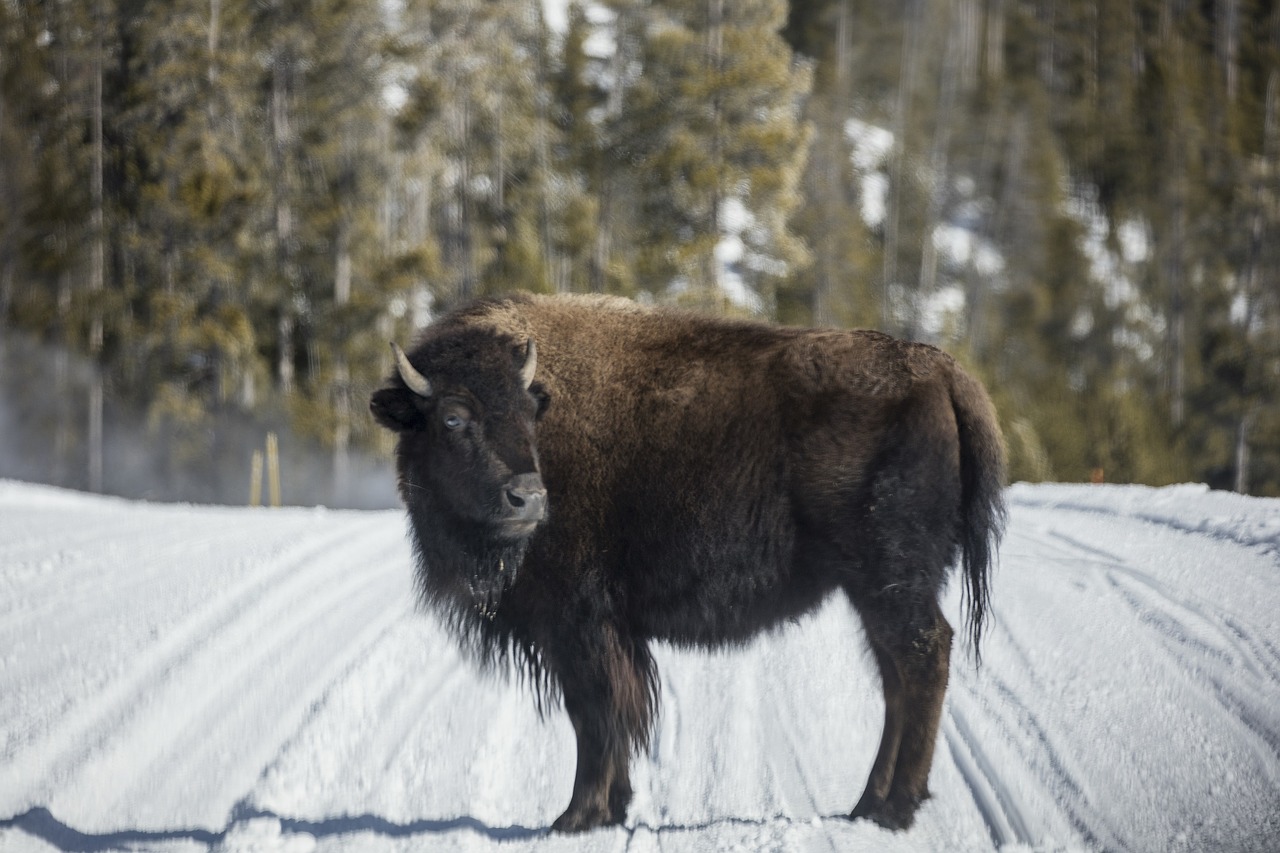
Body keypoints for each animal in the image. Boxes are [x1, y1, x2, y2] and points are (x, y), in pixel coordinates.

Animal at [366, 292, 1003, 829]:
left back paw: (895, 808)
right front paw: (611, 807)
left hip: (889, 581)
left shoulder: (578, 623)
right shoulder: (608, 631)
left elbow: (595, 713)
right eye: (452, 417)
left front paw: (576, 816)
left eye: (528, 413)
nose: (528, 498)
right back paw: (867, 804)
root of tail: (939, 371)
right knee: (896, 679)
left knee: (922, 660)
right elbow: (617, 711)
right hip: (874, 591)